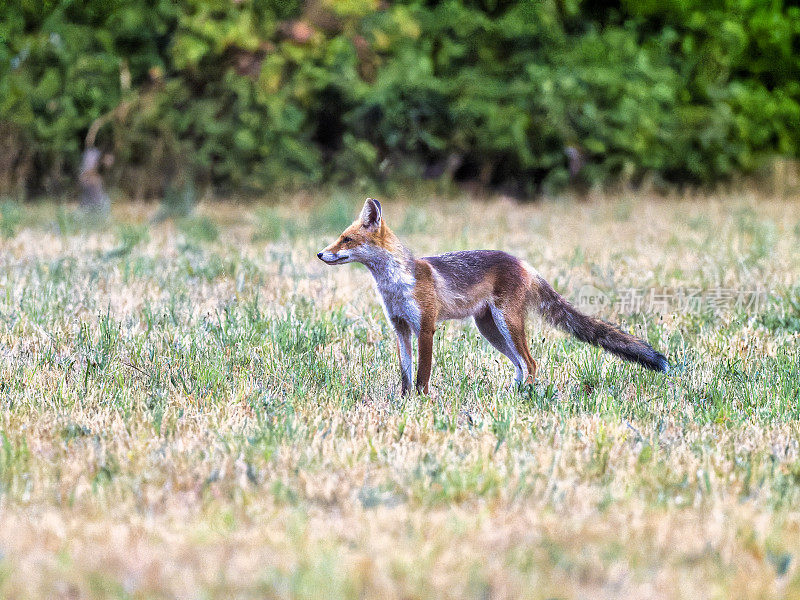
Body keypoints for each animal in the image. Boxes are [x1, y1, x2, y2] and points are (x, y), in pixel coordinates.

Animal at [318, 199, 668, 396]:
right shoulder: (400, 328)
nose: (320, 253)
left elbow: (422, 374)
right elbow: (405, 373)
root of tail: (524, 263)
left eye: (346, 239)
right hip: (490, 329)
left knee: (531, 362)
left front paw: (421, 401)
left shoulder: (426, 327)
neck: (396, 284)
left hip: (506, 323)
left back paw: (526, 398)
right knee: (521, 365)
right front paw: (403, 402)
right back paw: (513, 396)